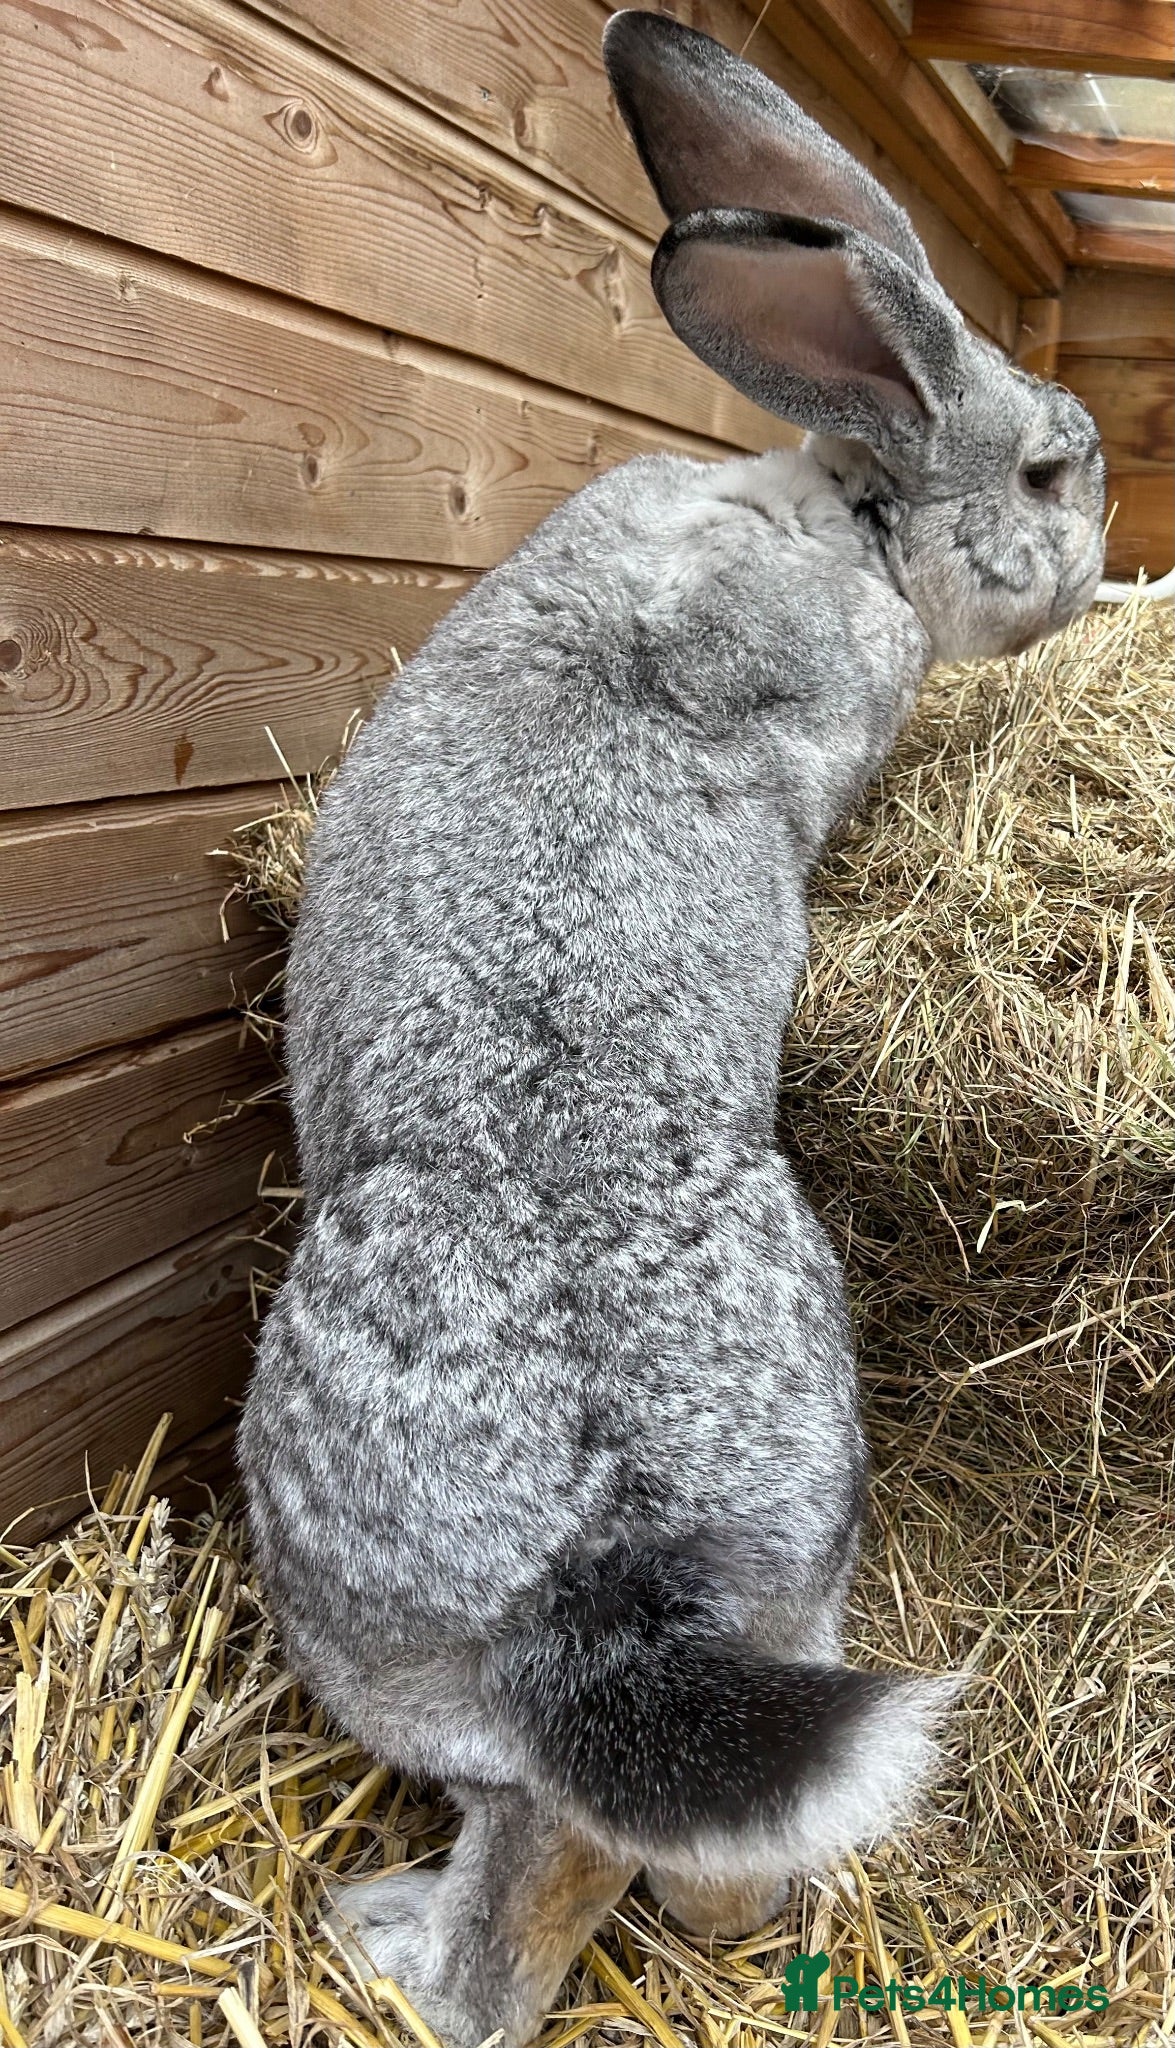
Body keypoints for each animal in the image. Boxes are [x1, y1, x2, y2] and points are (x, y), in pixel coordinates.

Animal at [239, 11, 1105, 2045]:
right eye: (1045, 473)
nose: (1106, 534)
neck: (852, 512)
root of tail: (612, 1573)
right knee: (635, 1882)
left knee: (572, 1887)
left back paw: (378, 1939)